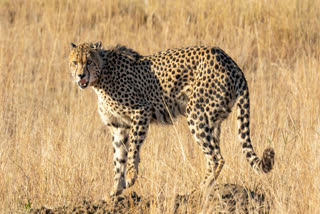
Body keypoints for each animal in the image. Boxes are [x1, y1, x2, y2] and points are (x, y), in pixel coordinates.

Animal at [69, 41, 274, 196]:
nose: (80, 75)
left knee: (217, 158)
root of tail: (228, 59)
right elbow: (118, 158)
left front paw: (131, 176)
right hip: (212, 120)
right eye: (74, 62)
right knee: (214, 155)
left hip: (196, 113)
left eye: (89, 61)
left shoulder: (141, 111)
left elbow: (133, 148)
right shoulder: (118, 126)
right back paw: (206, 187)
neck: (101, 75)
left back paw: (199, 189)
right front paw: (115, 190)